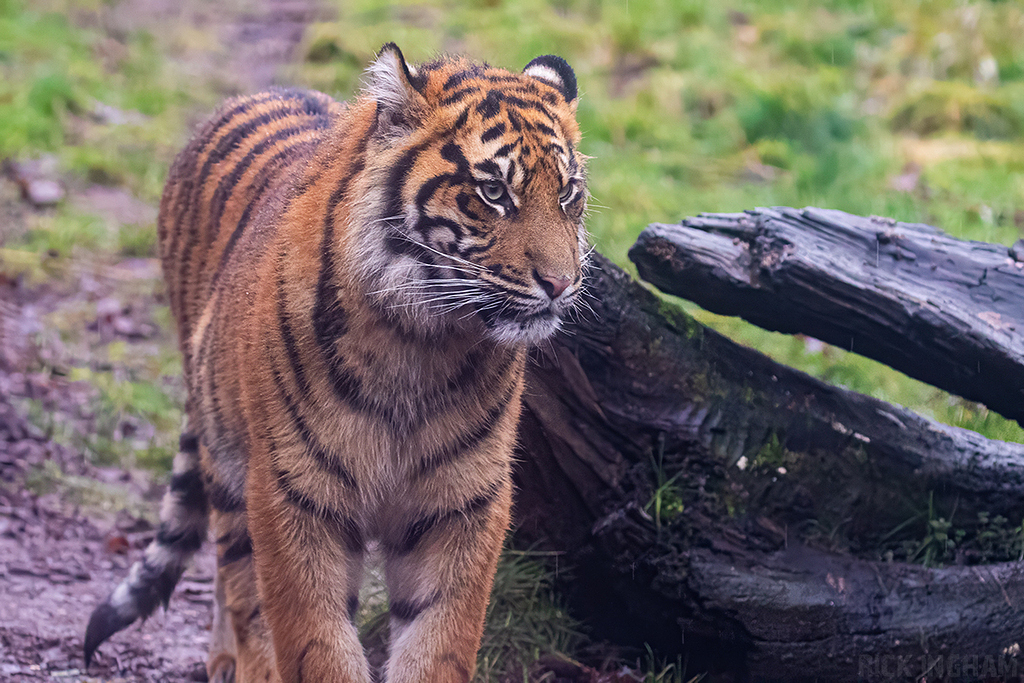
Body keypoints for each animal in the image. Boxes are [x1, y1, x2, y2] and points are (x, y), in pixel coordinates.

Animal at [83, 43, 587, 683]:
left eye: (568, 192)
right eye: (494, 192)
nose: (561, 284)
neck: (421, 341)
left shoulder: (462, 502)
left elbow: (437, 641)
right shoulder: (295, 495)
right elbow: (314, 641)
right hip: (229, 457)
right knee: (235, 577)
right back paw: (231, 660)